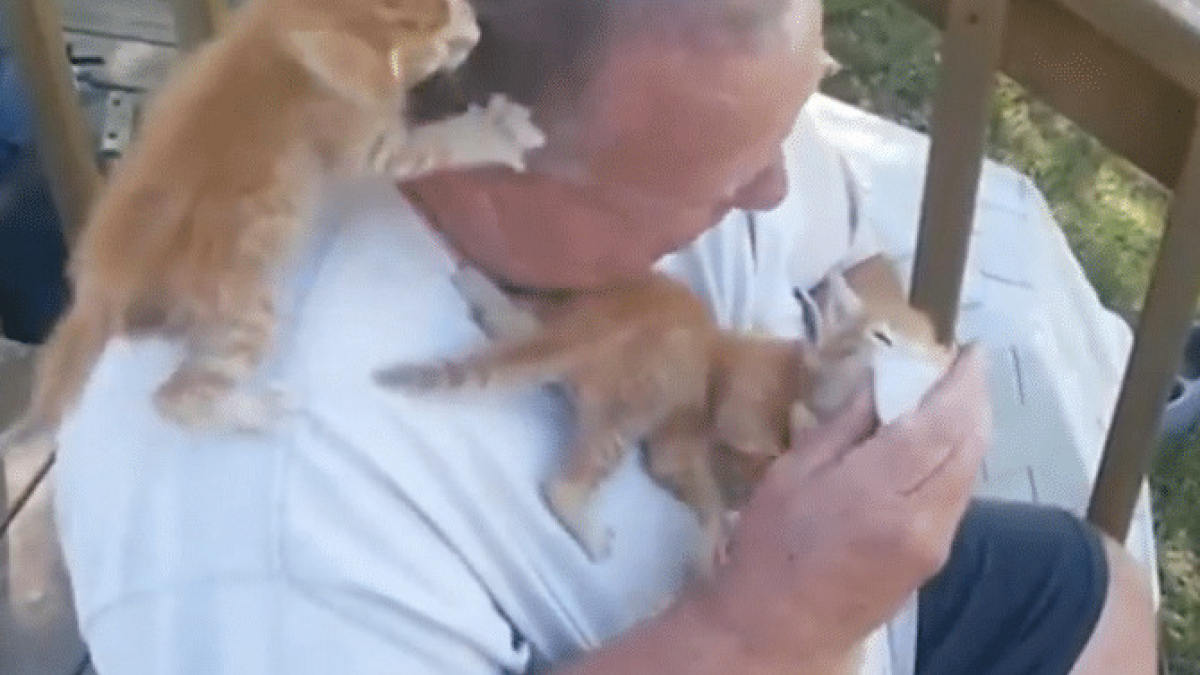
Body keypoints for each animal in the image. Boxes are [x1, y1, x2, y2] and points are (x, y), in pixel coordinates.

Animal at [3, 0, 544, 449]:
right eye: (438, 47)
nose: (475, 33)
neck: (283, 35)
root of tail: (99, 288)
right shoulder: (371, 146)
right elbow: (440, 145)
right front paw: (498, 133)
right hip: (245, 312)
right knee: (174, 398)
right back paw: (261, 411)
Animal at [374, 261, 945, 562]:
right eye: (883, 339)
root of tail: (605, 324)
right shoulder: (694, 435)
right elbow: (718, 483)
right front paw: (722, 532)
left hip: (573, 319)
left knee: (520, 332)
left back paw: (481, 290)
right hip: (644, 400)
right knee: (564, 483)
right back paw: (587, 529)